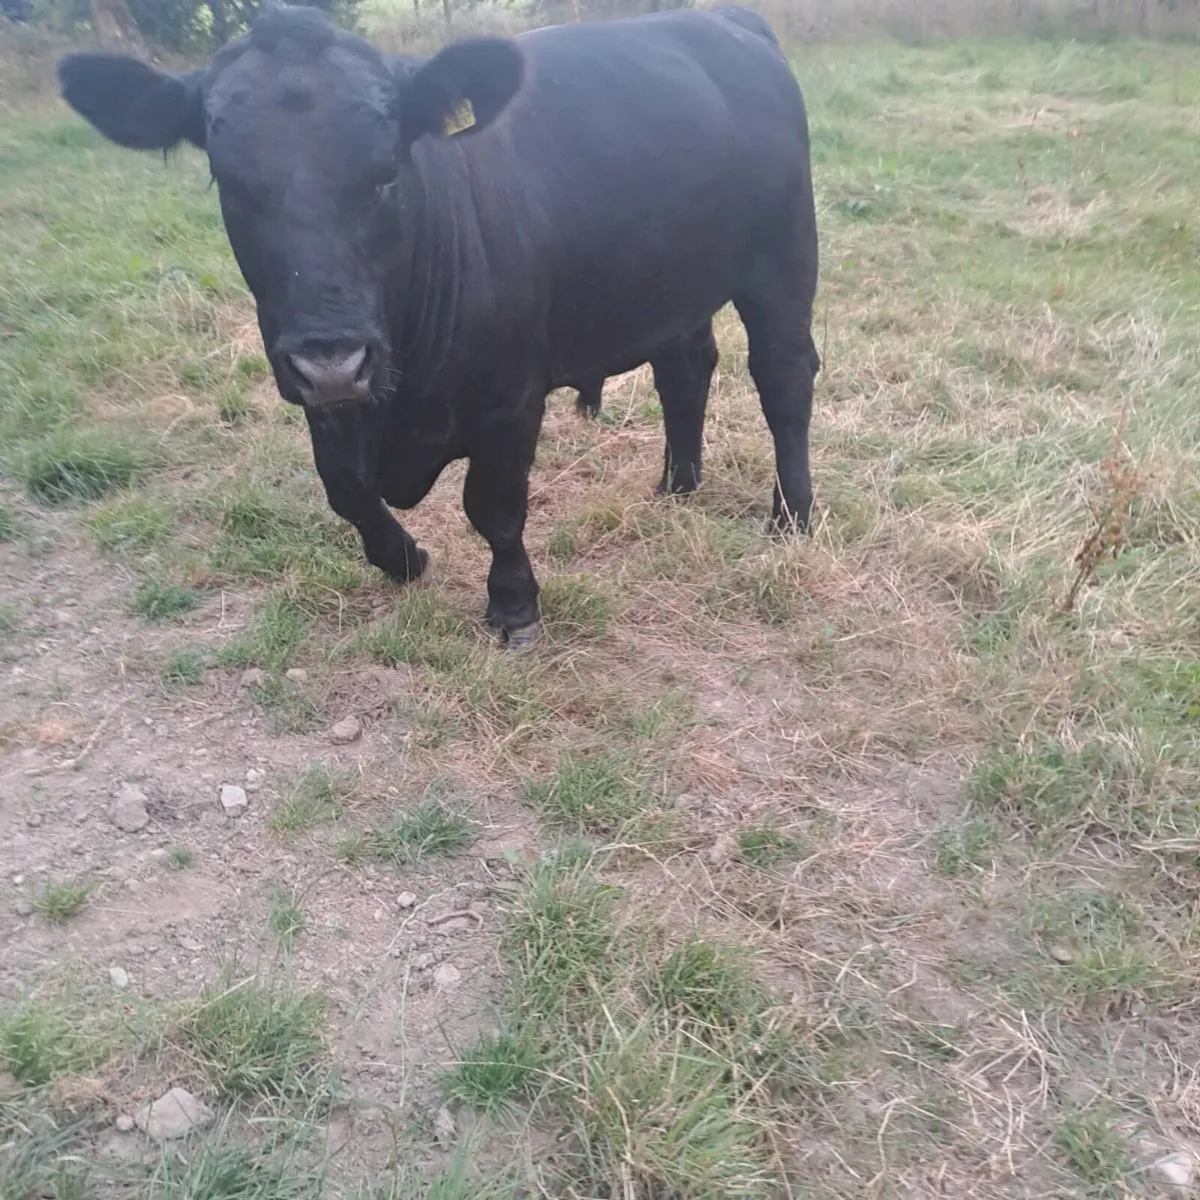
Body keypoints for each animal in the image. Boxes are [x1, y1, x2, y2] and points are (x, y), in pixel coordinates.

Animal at [57, 3, 820, 648]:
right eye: (229, 181)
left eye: (387, 170)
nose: (333, 359)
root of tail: (721, 20)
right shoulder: (323, 395)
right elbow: (344, 487)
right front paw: (402, 558)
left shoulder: (509, 398)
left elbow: (494, 507)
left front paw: (513, 606)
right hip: (672, 282)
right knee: (685, 368)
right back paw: (677, 485)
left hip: (782, 257)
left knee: (783, 380)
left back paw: (791, 516)